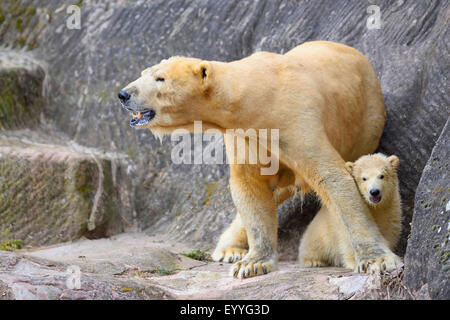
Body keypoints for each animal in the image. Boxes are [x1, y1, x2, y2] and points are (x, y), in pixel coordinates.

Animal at [118, 40, 402, 278]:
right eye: (144, 72)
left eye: (160, 78)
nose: (123, 94)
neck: (255, 98)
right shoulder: (243, 136)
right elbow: (249, 186)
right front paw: (252, 263)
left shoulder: (294, 121)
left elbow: (333, 179)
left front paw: (377, 260)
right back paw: (229, 249)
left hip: (366, 123)